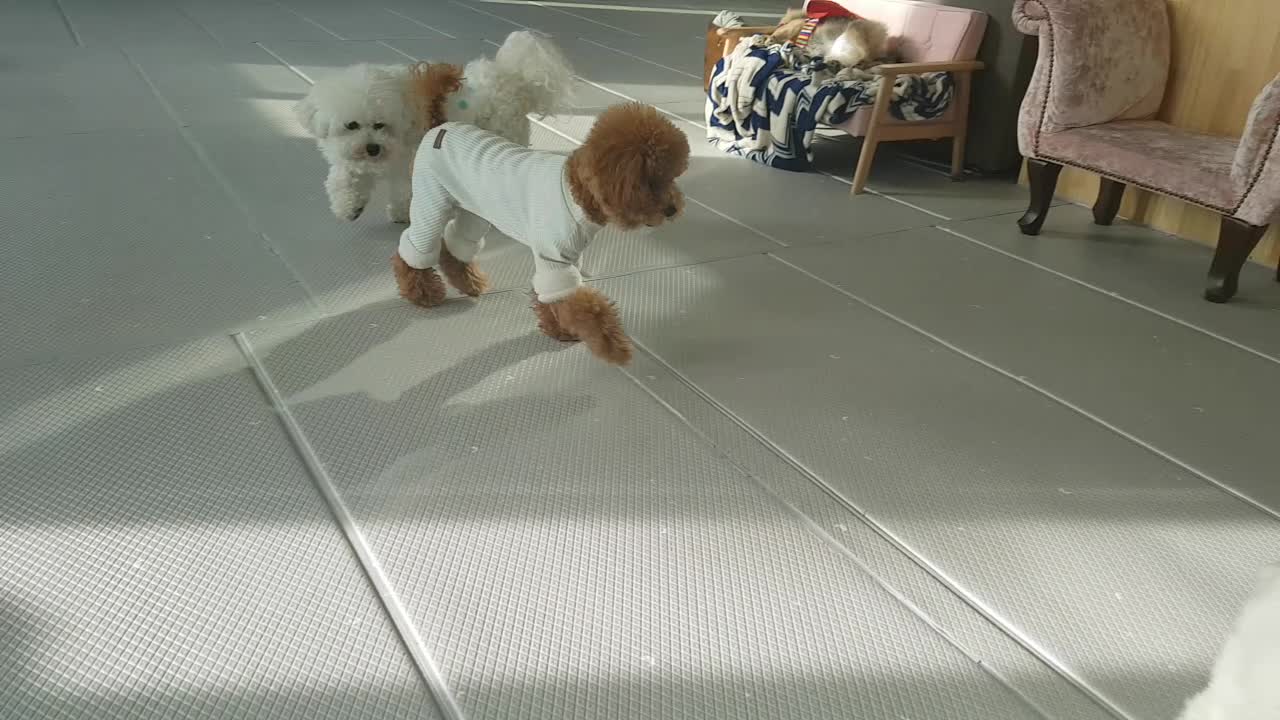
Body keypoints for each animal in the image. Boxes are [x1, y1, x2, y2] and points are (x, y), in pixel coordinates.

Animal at [293, 30, 573, 221]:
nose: (373, 148)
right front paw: (349, 207)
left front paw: (401, 214)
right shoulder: (354, 162)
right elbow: (342, 181)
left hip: (504, 132)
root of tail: (514, 77)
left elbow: (403, 191)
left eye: (380, 124)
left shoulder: (408, 163)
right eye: (351, 125)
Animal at [394, 101, 691, 363]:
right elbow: (583, 307)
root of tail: (440, 127)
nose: (673, 209)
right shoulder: (555, 256)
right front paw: (612, 346)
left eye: (672, 178)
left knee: (455, 246)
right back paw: (422, 294)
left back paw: (469, 283)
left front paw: (559, 330)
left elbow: (551, 299)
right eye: (651, 182)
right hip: (431, 201)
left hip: (474, 213)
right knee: (412, 250)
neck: (577, 196)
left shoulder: (564, 260)